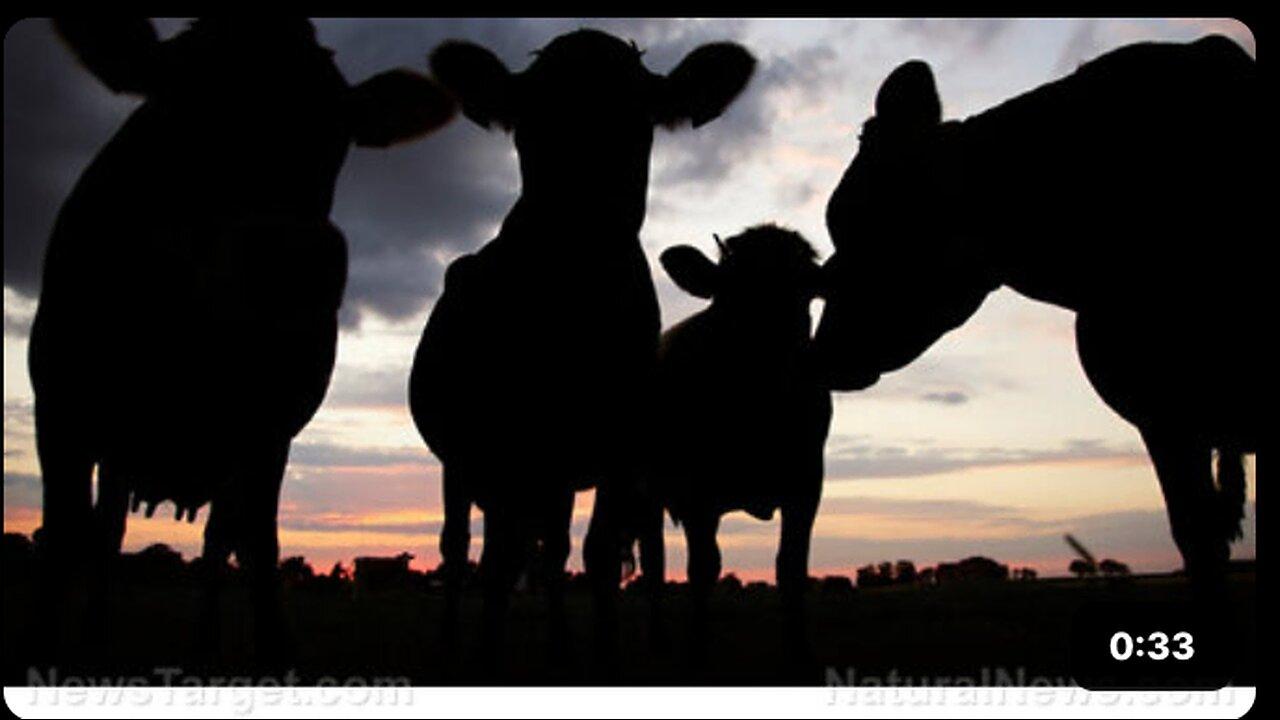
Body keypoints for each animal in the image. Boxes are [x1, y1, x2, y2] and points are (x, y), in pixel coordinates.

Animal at [27, 18, 458, 655]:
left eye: (340, 132)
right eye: (180, 96)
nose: (296, 258)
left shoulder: (268, 429)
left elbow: (257, 548)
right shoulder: (61, 404)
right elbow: (63, 538)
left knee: (215, 541)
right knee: (108, 532)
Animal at [404, 29, 752, 666]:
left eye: (639, 121)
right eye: (529, 124)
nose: (580, 222)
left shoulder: (619, 447)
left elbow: (597, 556)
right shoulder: (500, 447)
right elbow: (496, 564)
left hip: (555, 474)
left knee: (553, 547)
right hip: (463, 464)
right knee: (460, 547)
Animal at [637, 224, 829, 655]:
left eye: (804, 294)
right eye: (728, 296)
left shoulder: (806, 484)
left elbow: (791, 567)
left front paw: (798, 648)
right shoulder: (696, 493)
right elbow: (703, 567)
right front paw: (697, 646)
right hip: (640, 491)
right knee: (653, 561)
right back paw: (656, 640)